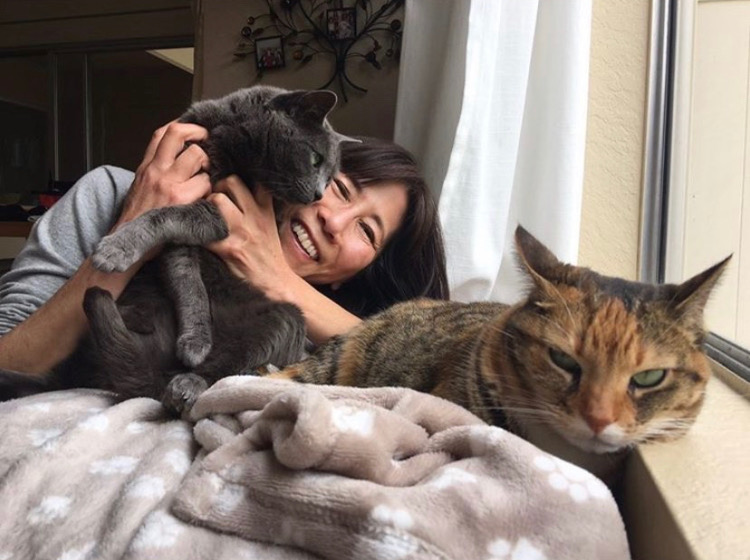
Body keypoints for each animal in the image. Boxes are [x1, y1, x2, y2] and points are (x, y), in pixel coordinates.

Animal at [0, 85, 356, 414]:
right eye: (316, 159)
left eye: (331, 179)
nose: (318, 195)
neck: (234, 147)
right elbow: (184, 274)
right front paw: (194, 337)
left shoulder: (218, 217)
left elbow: (167, 216)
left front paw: (114, 250)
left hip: (285, 318)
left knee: (223, 367)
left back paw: (188, 385)